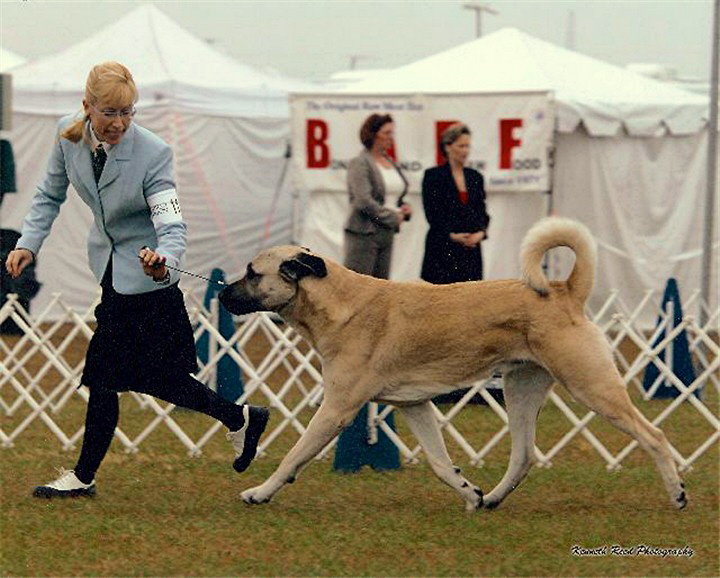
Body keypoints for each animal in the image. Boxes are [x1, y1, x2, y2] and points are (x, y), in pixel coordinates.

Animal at [219, 216, 688, 508]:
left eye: (253, 273)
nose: (221, 293)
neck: (340, 303)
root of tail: (563, 290)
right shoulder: (414, 406)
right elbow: (441, 463)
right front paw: (469, 493)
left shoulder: (337, 409)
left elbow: (292, 456)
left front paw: (259, 492)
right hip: (522, 391)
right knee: (523, 456)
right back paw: (493, 499)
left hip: (592, 387)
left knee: (654, 435)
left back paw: (678, 493)